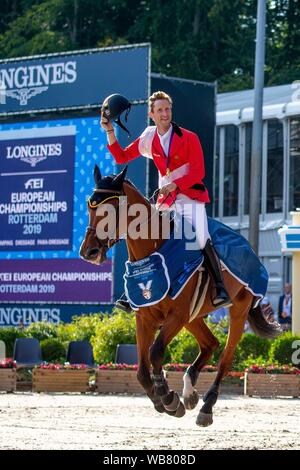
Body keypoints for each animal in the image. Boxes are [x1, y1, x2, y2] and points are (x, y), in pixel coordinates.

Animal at [79, 167, 282, 428]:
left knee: (225, 357)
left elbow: (155, 352)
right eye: (90, 207)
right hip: (193, 316)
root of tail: (249, 249)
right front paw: (163, 399)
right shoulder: (145, 317)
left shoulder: (176, 315)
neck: (154, 249)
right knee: (210, 344)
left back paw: (206, 407)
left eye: (111, 209)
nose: (89, 252)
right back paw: (189, 392)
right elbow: (141, 370)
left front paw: (167, 397)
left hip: (237, 309)